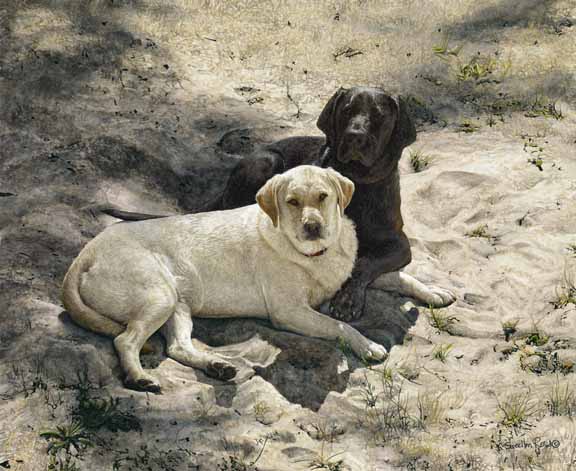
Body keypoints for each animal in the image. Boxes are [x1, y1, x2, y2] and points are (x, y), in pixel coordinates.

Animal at [63, 166, 388, 392]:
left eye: (322, 197)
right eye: (292, 202)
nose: (312, 226)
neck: (314, 255)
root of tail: (85, 254)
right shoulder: (290, 312)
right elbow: (340, 326)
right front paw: (368, 345)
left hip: (178, 305)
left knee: (178, 347)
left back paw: (217, 366)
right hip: (159, 297)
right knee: (125, 340)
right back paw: (139, 378)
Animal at [102, 86, 455, 320]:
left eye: (379, 115)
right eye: (346, 110)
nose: (355, 135)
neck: (360, 183)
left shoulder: (399, 244)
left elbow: (368, 264)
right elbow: (362, 265)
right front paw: (348, 300)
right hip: (266, 161)